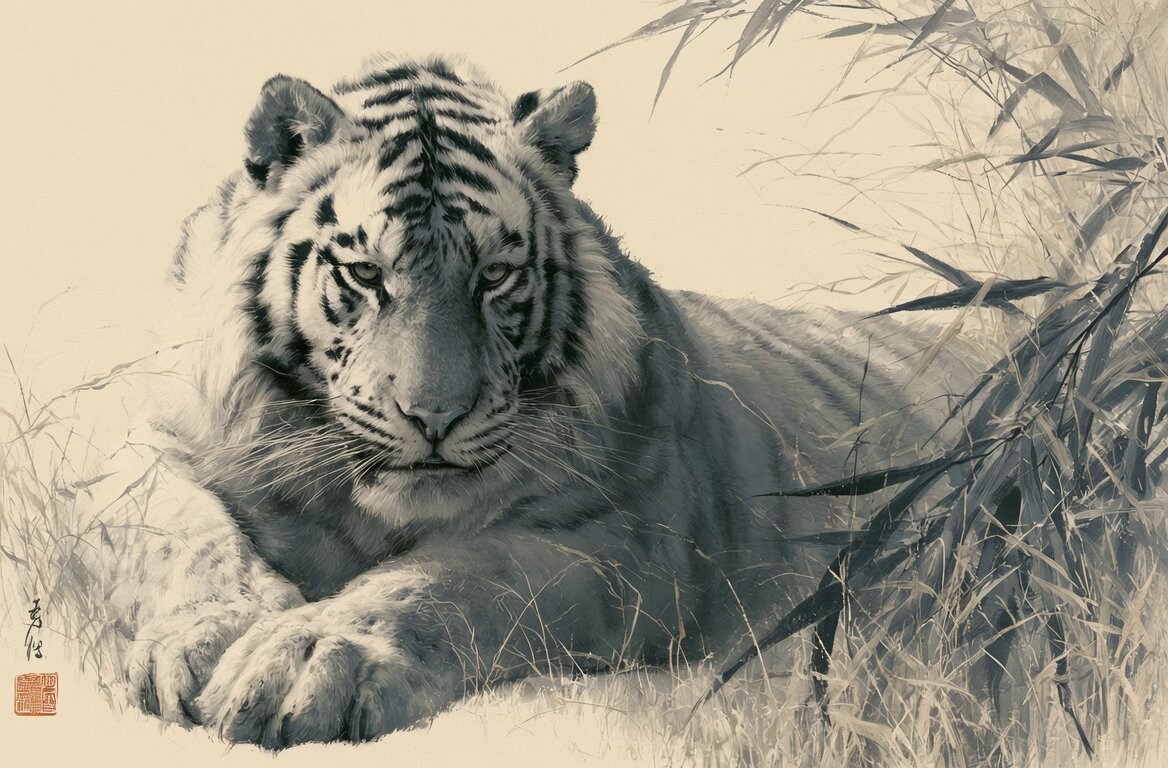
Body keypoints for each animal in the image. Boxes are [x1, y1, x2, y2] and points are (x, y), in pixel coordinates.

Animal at [101, 54, 979, 748]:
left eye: (494, 276)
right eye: (365, 274)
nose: (434, 417)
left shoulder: (631, 537)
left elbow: (456, 575)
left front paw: (308, 665)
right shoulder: (166, 449)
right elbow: (188, 536)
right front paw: (208, 638)